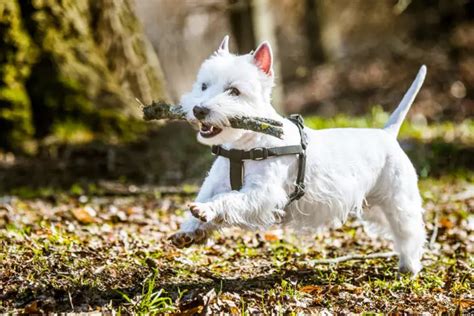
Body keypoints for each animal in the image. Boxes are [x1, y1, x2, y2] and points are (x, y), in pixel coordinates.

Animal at [169, 35, 426, 276]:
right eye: (204, 85)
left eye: (234, 91)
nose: (199, 110)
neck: (244, 145)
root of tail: (388, 134)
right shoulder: (215, 182)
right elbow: (206, 197)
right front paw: (189, 231)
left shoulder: (263, 194)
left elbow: (229, 199)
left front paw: (206, 211)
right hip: (373, 205)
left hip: (398, 199)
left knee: (409, 230)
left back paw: (409, 266)